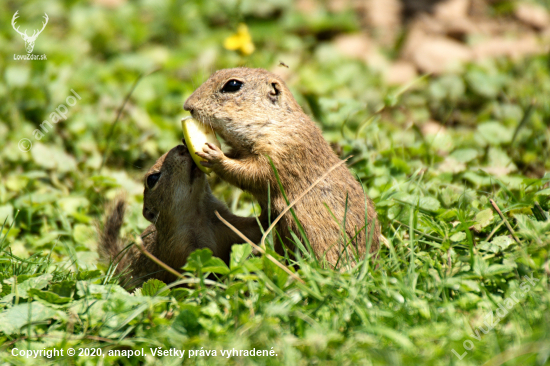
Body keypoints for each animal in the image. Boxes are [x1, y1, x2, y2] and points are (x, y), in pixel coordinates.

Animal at [99, 142, 266, 288]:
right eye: (152, 179)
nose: (181, 146)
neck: (199, 214)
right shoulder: (181, 251)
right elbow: (193, 276)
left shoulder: (228, 224)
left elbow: (250, 231)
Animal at [183, 67, 382, 268]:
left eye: (232, 85)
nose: (187, 106)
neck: (276, 122)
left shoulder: (281, 150)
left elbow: (254, 173)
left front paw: (213, 155)